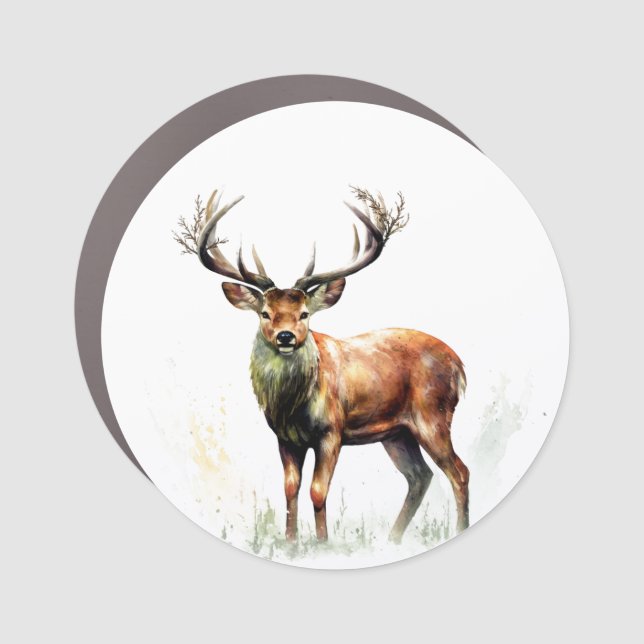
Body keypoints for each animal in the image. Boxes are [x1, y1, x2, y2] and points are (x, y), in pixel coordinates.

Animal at [173, 187, 469, 544]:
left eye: (304, 314)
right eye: (265, 313)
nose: (286, 336)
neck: (291, 406)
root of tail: (459, 365)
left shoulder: (332, 430)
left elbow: (317, 490)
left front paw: (323, 543)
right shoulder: (285, 437)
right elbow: (290, 489)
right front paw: (291, 543)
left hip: (432, 414)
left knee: (459, 472)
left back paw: (456, 528)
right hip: (397, 432)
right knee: (419, 475)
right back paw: (393, 539)